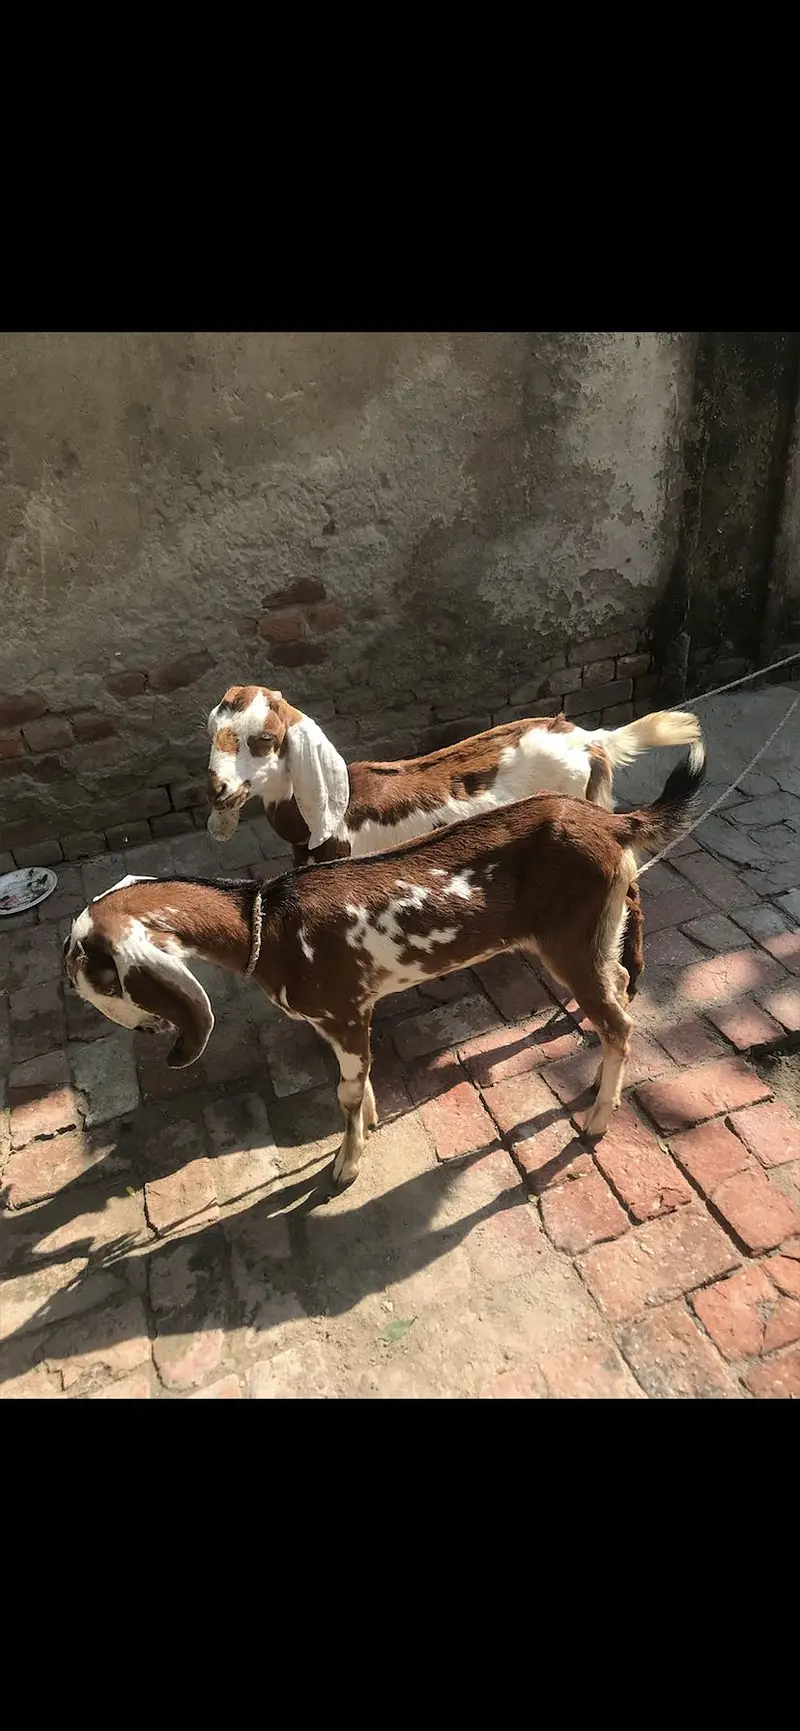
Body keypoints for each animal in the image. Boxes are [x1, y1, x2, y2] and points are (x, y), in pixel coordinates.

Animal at [64, 742, 705, 1192]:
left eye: (95, 983)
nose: (150, 1030)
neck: (267, 926)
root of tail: (614, 825)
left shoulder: (343, 1010)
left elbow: (344, 1094)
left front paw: (346, 1164)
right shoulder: (346, 1015)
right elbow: (358, 1082)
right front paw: (370, 1123)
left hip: (570, 939)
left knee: (619, 1022)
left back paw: (597, 1121)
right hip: (597, 933)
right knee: (618, 988)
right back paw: (598, 1084)